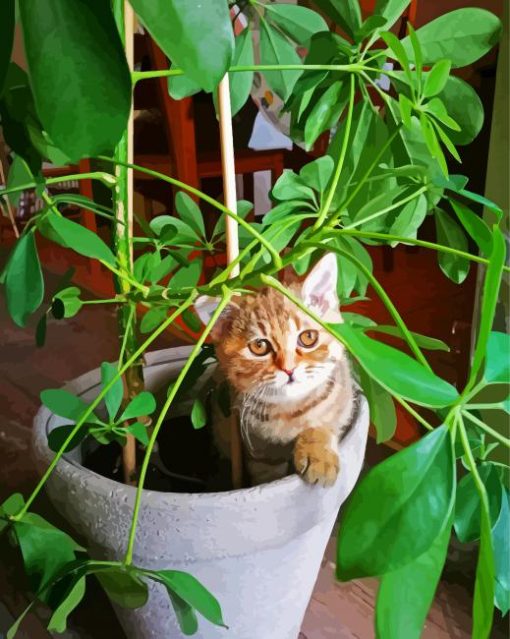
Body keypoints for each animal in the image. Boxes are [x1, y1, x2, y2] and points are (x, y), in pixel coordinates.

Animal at [195, 252, 354, 488]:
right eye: (259, 346)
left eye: (308, 337)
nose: (289, 369)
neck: (291, 410)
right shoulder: (260, 452)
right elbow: (267, 475)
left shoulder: (343, 400)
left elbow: (324, 422)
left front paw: (318, 454)